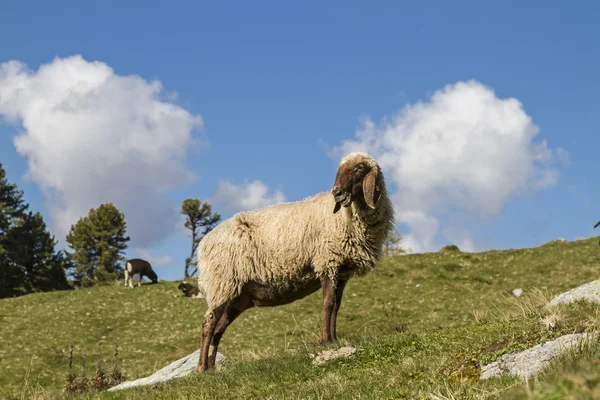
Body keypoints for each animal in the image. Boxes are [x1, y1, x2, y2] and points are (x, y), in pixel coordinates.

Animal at [195, 153, 396, 372]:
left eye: (358, 169)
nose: (337, 193)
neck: (349, 215)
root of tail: (203, 244)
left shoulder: (341, 270)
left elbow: (336, 306)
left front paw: (334, 340)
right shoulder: (327, 261)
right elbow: (328, 303)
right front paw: (325, 341)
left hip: (239, 296)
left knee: (218, 329)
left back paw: (212, 368)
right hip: (221, 283)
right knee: (208, 325)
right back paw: (201, 368)